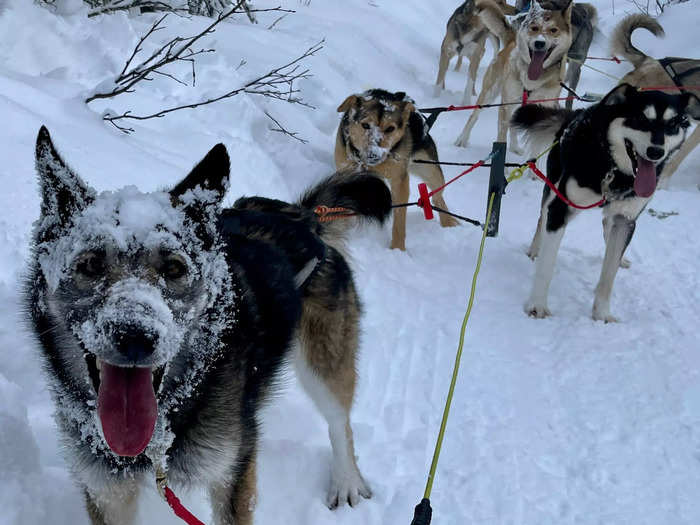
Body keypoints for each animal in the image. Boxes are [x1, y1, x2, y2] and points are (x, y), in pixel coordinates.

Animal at [26, 127, 394, 524]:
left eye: (174, 268)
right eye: (91, 264)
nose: (136, 336)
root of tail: (305, 218)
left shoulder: (231, 472)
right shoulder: (106, 490)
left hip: (322, 363)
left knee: (340, 423)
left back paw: (347, 481)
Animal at [334, 89, 460, 251]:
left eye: (390, 128)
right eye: (365, 125)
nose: (374, 154)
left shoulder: (399, 183)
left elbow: (399, 220)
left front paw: (398, 249)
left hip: (431, 171)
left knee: (437, 196)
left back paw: (448, 222)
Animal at [454, 0, 576, 154]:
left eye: (553, 30)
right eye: (534, 28)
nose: (539, 43)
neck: (531, 81)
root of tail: (512, 41)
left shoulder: (542, 113)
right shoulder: (505, 107)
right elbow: (501, 140)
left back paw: (515, 147)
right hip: (490, 93)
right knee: (474, 116)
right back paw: (462, 139)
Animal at [512, 83, 696, 320]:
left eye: (672, 124)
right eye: (640, 119)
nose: (656, 152)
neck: (614, 170)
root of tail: (576, 112)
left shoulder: (625, 218)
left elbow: (609, 275)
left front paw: (601, 314)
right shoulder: (560, 208)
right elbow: (547, 264)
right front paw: (537, 305)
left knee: (608, 227)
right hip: (552, 189)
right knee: (542, 218)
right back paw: (535, 249)